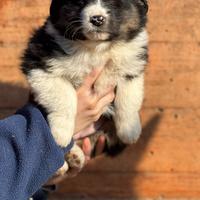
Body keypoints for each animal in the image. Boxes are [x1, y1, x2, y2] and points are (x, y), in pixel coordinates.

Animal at [21, 0, 148, 174]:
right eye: (80, 2)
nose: (97, 19)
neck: (96, 47)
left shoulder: (132, 64)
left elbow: (128, 99)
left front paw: (130, 131)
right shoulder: (39, 62)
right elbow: (65, 97)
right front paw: (60, 135)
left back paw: (75, 157)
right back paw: (64, 163)